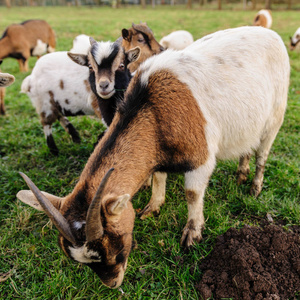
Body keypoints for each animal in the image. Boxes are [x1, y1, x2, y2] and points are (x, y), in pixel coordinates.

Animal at [15, 27, 288, 290]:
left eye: (109, 244)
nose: (112, 284)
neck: (151, 108)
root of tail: (272, 34)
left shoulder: (200, 159)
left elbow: (192, 194)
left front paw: (192, 234)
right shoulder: (159, 155)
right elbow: (158, 177)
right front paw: (153, 206)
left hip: (275, 117)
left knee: (263, 153)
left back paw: (254, 187)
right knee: (247, 148)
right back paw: (241, 174)